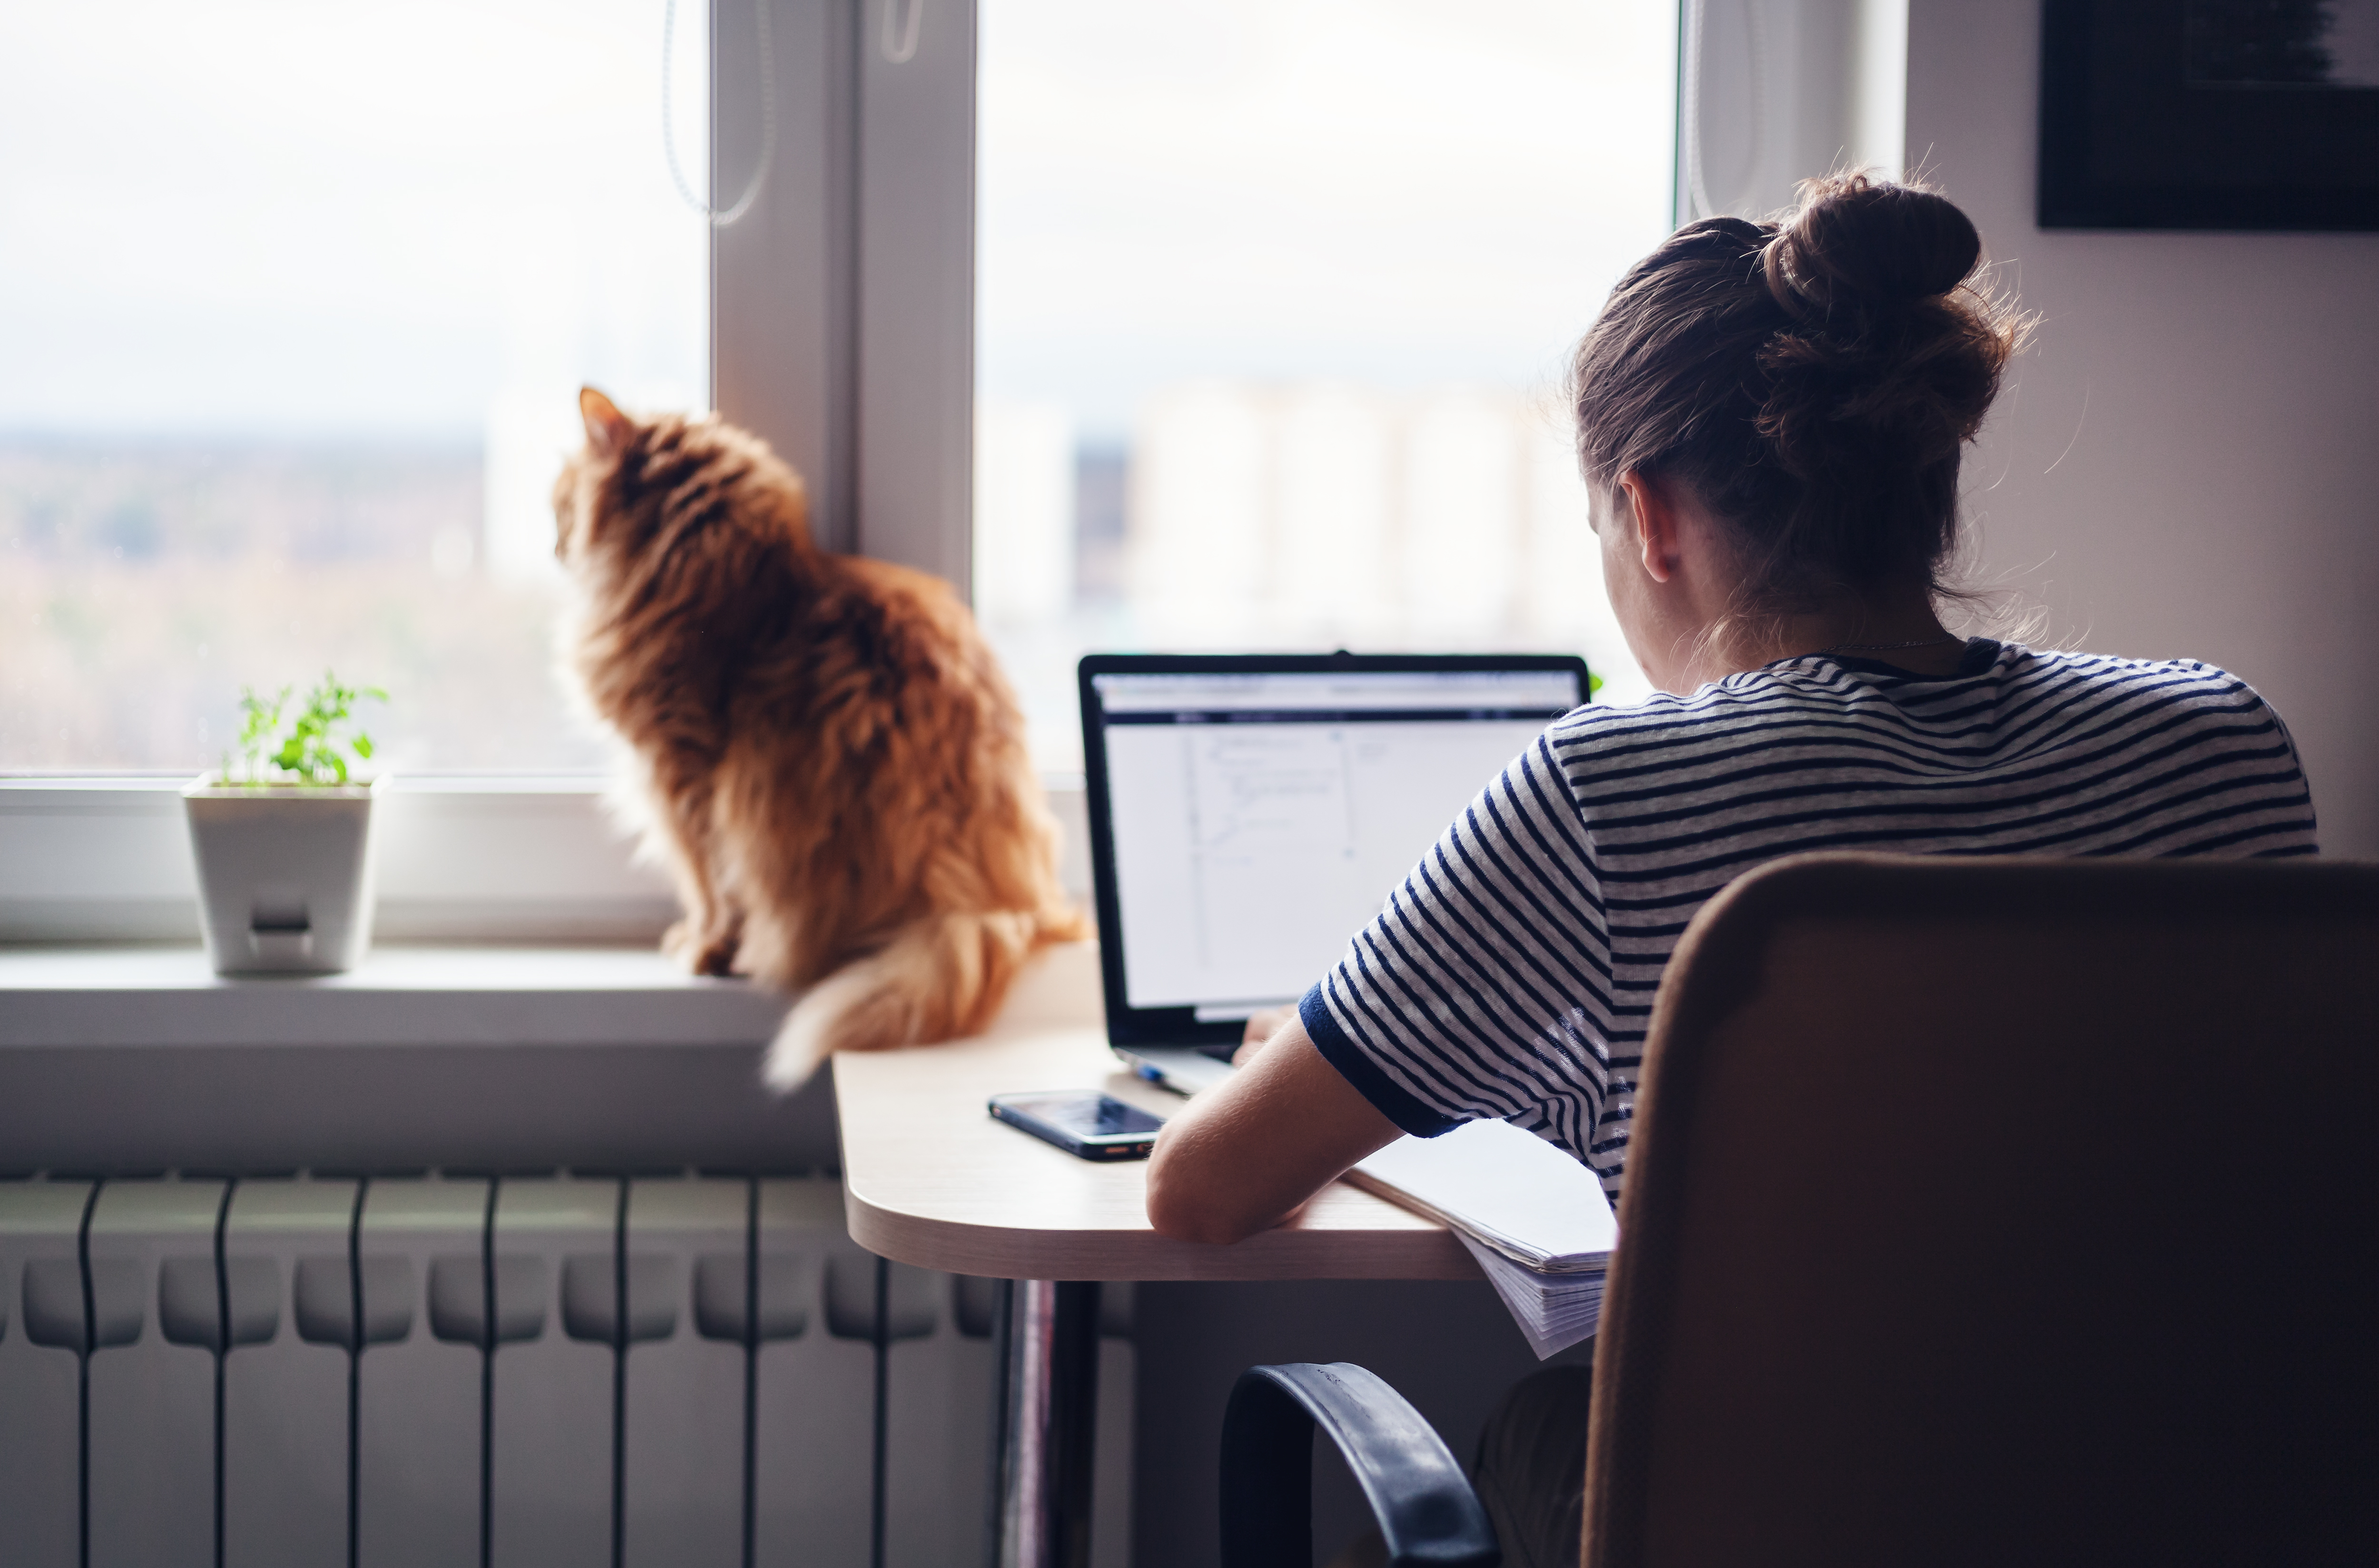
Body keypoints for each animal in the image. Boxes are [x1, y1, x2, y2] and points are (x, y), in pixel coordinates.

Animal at [552, 385, 1085, 1085]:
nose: (554, 544)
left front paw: (703, 948)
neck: (732, 579)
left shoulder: (684, 775)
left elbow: (708, 885)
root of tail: (993, 902)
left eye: (560, 500)